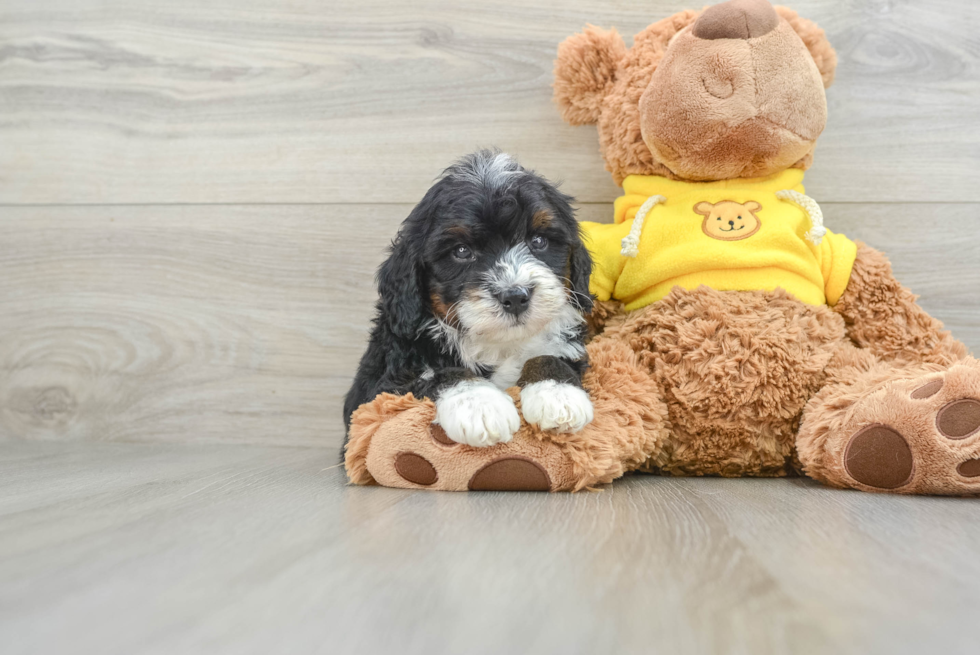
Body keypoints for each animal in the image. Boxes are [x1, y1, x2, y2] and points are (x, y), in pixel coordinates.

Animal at [340, 152, 592, 452]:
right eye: (461, 251)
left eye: (539, 241)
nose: (515, 296)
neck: (499, 345)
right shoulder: (382, 389)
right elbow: (439, 373)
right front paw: (480, 405)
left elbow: (551, 356)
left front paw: (559, 395)